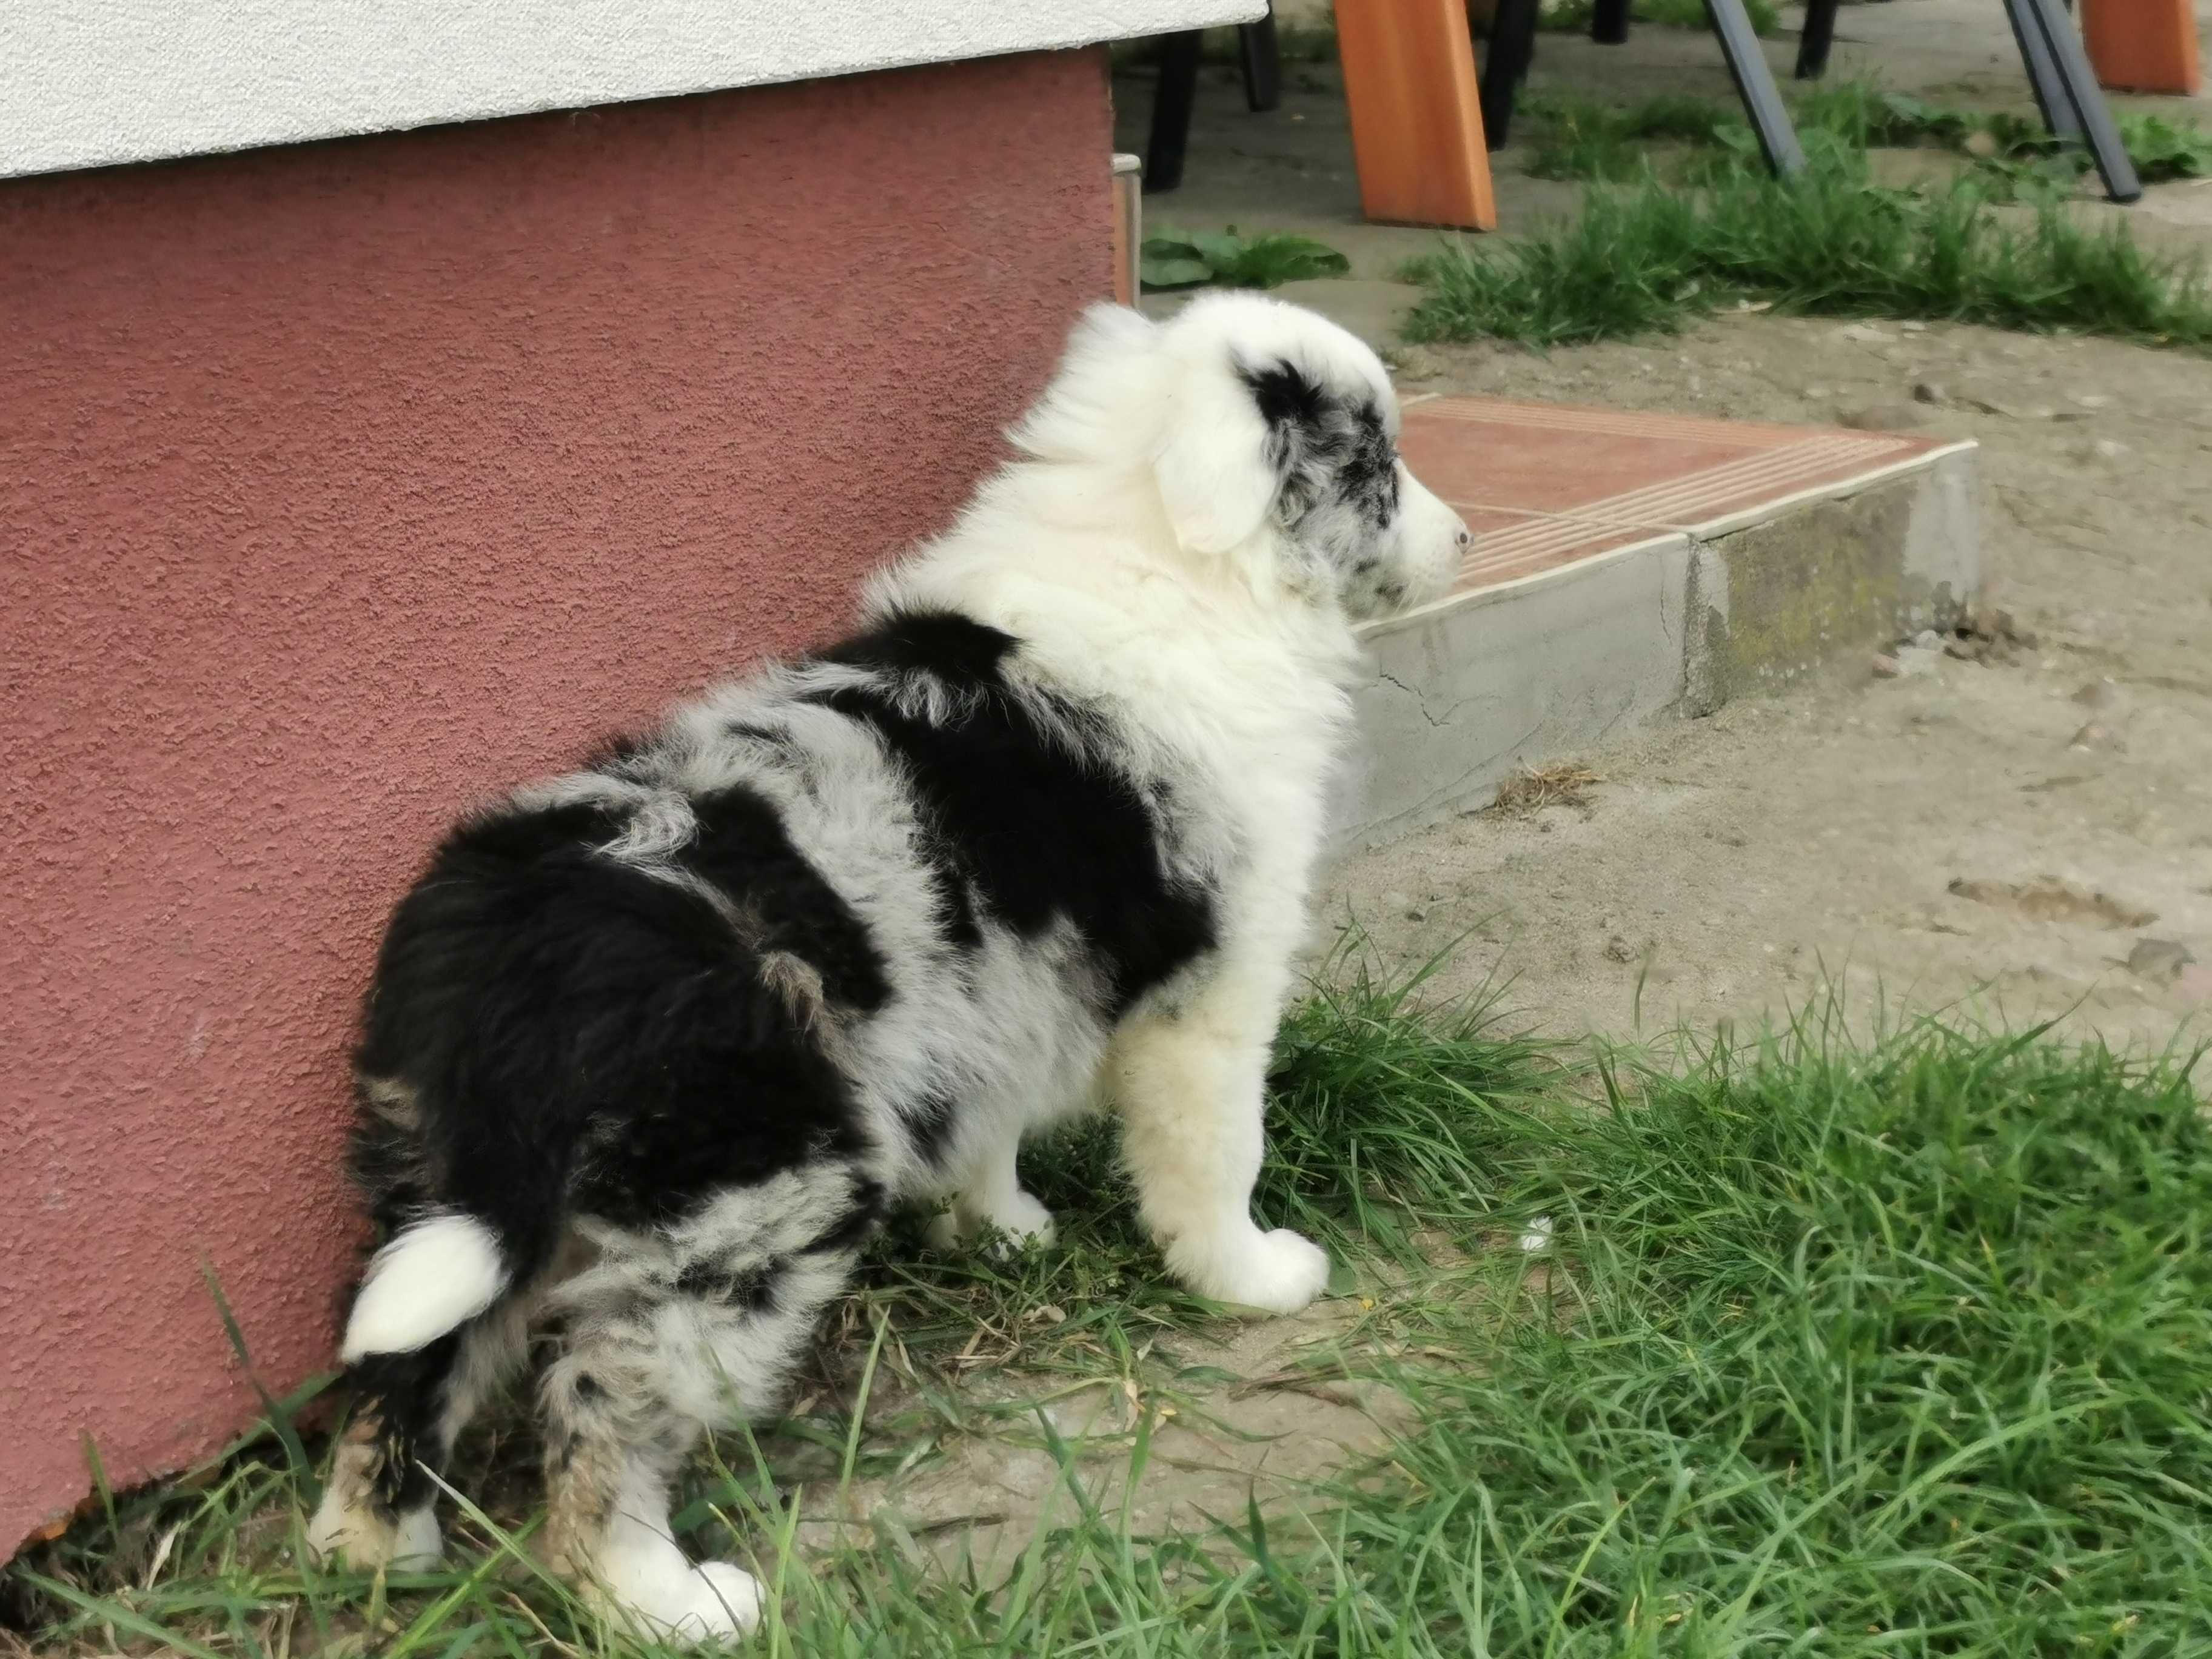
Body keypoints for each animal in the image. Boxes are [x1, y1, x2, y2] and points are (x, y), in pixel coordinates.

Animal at [303, 296, 1460, 1637]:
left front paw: (1003, 1227)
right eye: (1380, 469)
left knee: (404, 1365)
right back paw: (665, 1599)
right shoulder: (1216, 996)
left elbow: (992, 1118)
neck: (1166, 557)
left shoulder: (996, 986)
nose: (1464, 537)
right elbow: (1219, 1155)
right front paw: (1252, 1276)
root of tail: (514, 944)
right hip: (755, 1198)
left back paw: (375, 1550)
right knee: (608, 1404)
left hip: (440, 1173)